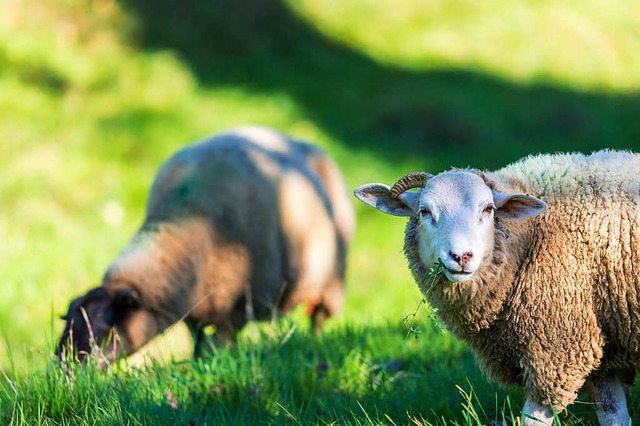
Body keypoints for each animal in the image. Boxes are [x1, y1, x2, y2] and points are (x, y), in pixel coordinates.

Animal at [56, 125, 356, 364]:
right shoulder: (195, 309)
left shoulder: (240, 308)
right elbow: (198, 340)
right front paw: (197, 363)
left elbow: (223, 343)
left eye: (102, 317)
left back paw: (316, 345)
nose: (64, 368)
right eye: (68, 318)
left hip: (332, 280)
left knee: (318, 319)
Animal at [352, 151, 640, 426]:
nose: (461, 256)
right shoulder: (605, 353)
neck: (530, 236)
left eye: (488, 209)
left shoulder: (559, 348)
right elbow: (613, 415)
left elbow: (533, 419)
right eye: (424, 211)